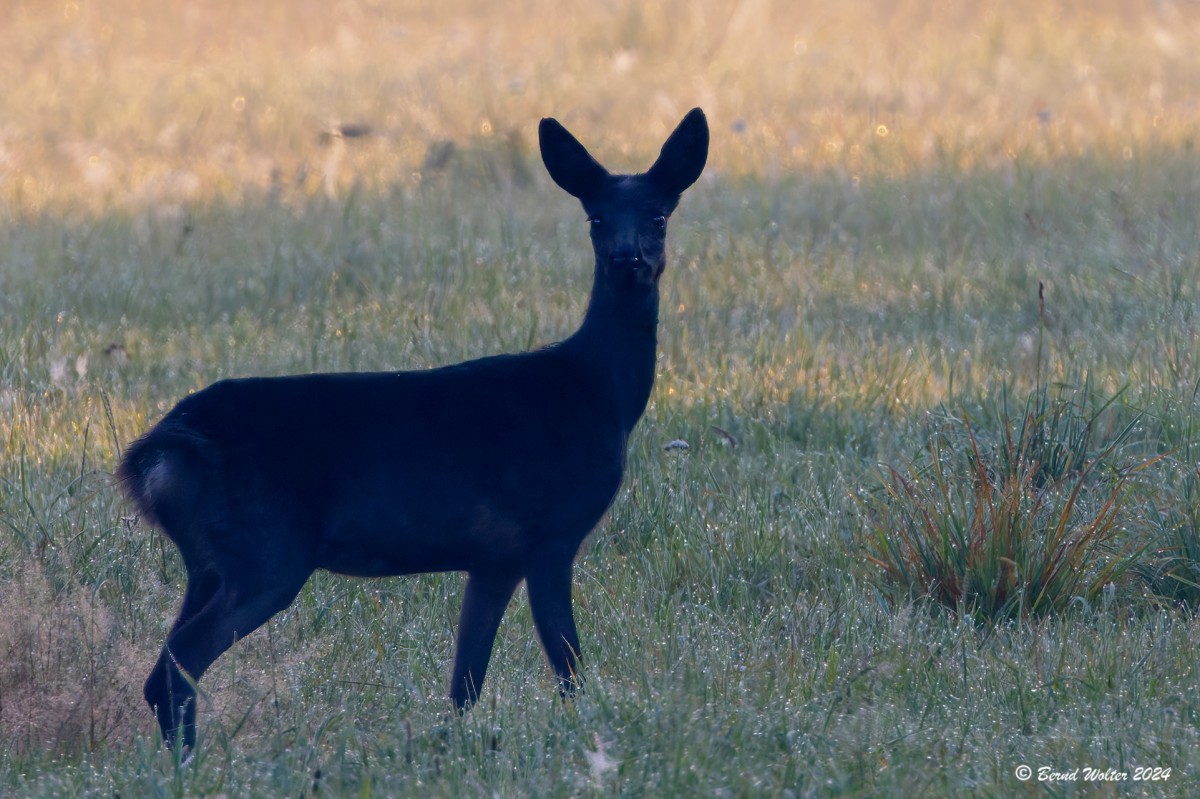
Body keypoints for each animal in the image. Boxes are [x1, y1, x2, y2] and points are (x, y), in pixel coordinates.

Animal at [117, 108, 709, 752]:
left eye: (659, 214)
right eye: (596, 217)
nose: (629, 259)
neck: (599, 392)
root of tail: (157, 451)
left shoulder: (494, 557)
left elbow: (465, 681)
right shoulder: (550, 530)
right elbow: (567, 664)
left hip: (206, 560)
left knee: (162, 670)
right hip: (265, 549)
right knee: (178, 665)